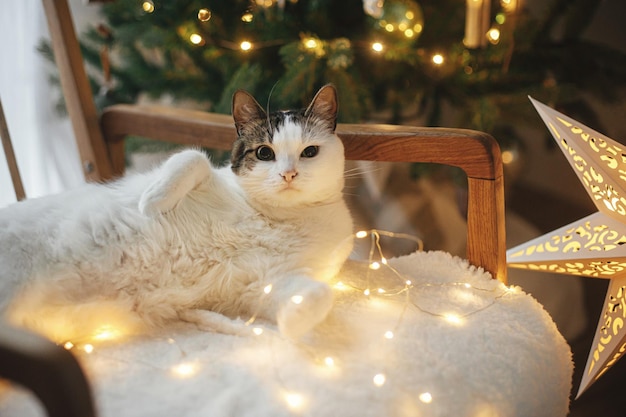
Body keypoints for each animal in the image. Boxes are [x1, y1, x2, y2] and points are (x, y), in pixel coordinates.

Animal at [0, 83, 352, 340]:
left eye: (309, 152)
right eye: (265, 153)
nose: (288, 174)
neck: (279, 219)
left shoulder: (268, 283)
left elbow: (320, 294)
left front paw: (291, 327)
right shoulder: (205, 172)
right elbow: (191, 157)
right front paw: (152, 200)